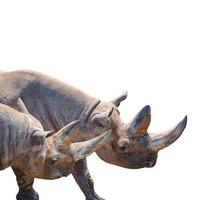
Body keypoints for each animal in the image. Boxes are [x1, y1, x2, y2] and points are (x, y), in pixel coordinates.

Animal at [0, 70, 188, 200]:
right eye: (123, 147)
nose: (152, 162)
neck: (87, 116)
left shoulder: (72, 137)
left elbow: (83, 172)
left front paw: (96, 198)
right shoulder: (26, 141)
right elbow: (24, 172)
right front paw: (29, 198)